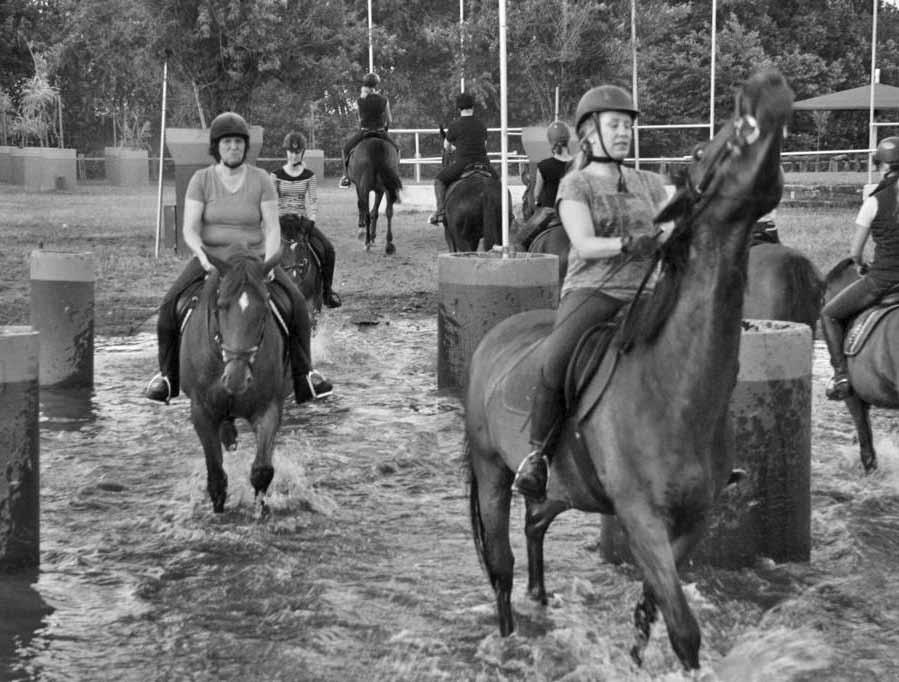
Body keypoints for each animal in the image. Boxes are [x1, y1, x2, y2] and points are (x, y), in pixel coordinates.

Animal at [178, 248, 286, 516]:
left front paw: (259, 512)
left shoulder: (269, 407)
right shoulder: (202, 412)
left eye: (264, 309)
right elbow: (216, 477)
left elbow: (262, 471)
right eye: (221, 306)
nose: (236, 378)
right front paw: (218, 513)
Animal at [464, 69, 796, 668]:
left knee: (535, 524)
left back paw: (540, 599)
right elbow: (683, 630)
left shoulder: (690, 523)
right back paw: (509, 640)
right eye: (699, 152)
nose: (767, 83)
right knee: (501, 567)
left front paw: (638, 658)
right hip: (491, 472)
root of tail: (492, 340)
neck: (673, 390)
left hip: (561, 489)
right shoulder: (642, 520)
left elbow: (651, 610)